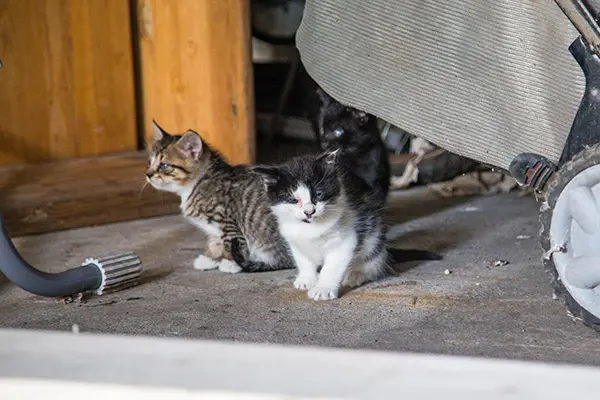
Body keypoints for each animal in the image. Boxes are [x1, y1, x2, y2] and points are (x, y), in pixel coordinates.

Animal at [145, 121, 296, 272]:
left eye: (163, 165)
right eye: (149, 162)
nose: (148, 174)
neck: (194, 184)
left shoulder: (226, 219)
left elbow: (231, 241)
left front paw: (230, 262)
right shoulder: (213, 227)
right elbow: (215, 242)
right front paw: (211, 258)